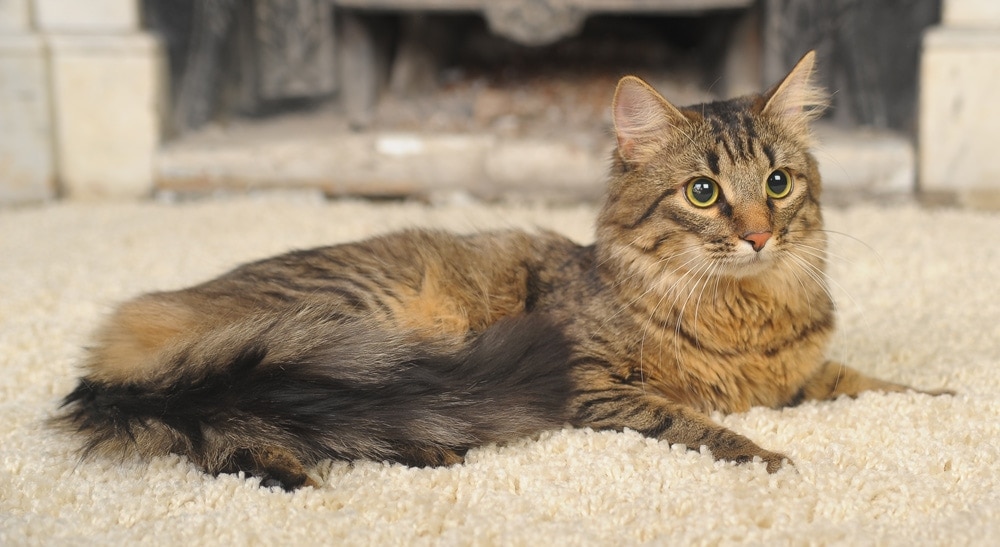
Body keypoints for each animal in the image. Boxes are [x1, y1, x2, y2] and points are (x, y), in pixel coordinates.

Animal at [54, 49, 944, 490]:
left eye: (778, 183)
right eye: (703, 193)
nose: (760, 236)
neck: (746, 306)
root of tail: (144, 325)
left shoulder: (798, 375)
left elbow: (867, 382)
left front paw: (938, 397)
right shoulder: (597, 386)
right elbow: (697, 425)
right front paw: (769, 458)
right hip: (346, 339)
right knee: (245, 426)